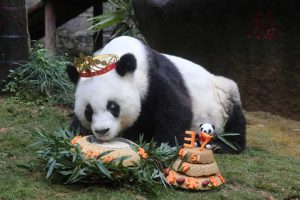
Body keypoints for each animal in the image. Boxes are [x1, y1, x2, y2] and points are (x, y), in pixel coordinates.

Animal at [67, 36, 246, 154]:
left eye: (113, 107)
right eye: (88, 111)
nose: (102, 131)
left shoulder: (153, 77)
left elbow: (176, 109)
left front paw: (162, 148)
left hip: (223, 94)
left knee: (234, 114)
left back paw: (223, 145)